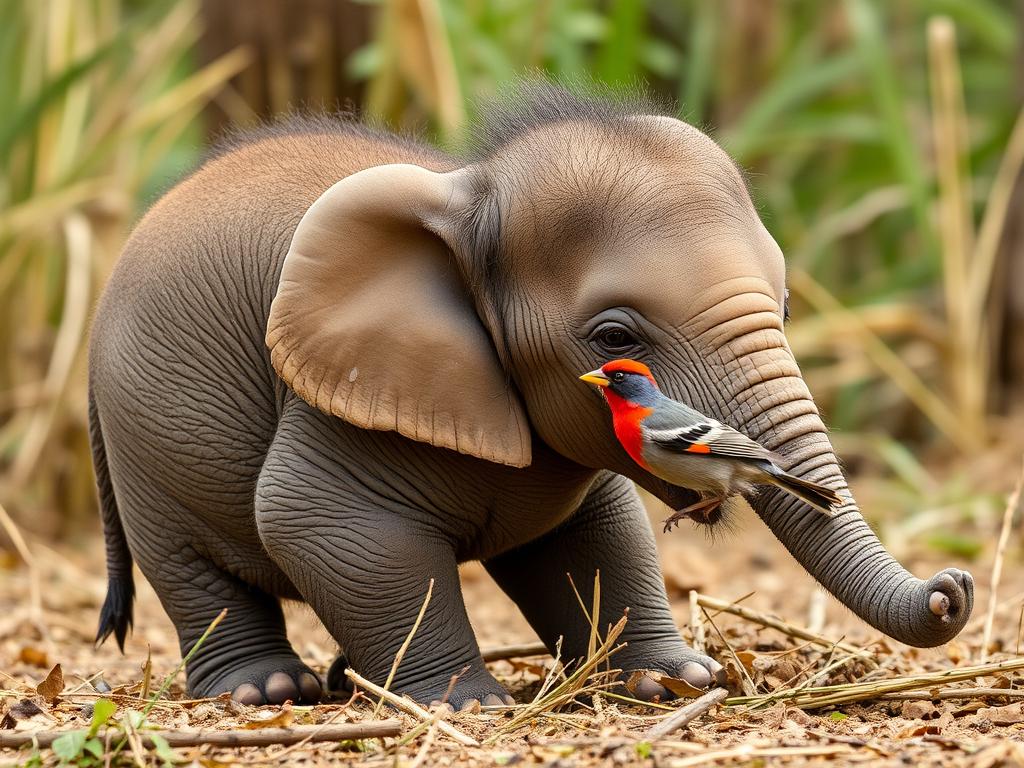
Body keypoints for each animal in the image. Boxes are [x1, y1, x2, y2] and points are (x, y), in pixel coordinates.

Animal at [90, 85, 974, 708]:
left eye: (785, 307)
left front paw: (676, 682)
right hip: (145, 446)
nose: (950, 589)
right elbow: (326, 524)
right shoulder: (334, 404)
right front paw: (468, 706)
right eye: (615, 336)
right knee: (190, 567)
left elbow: (603, 536)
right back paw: (268, 690)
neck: (468, 188)